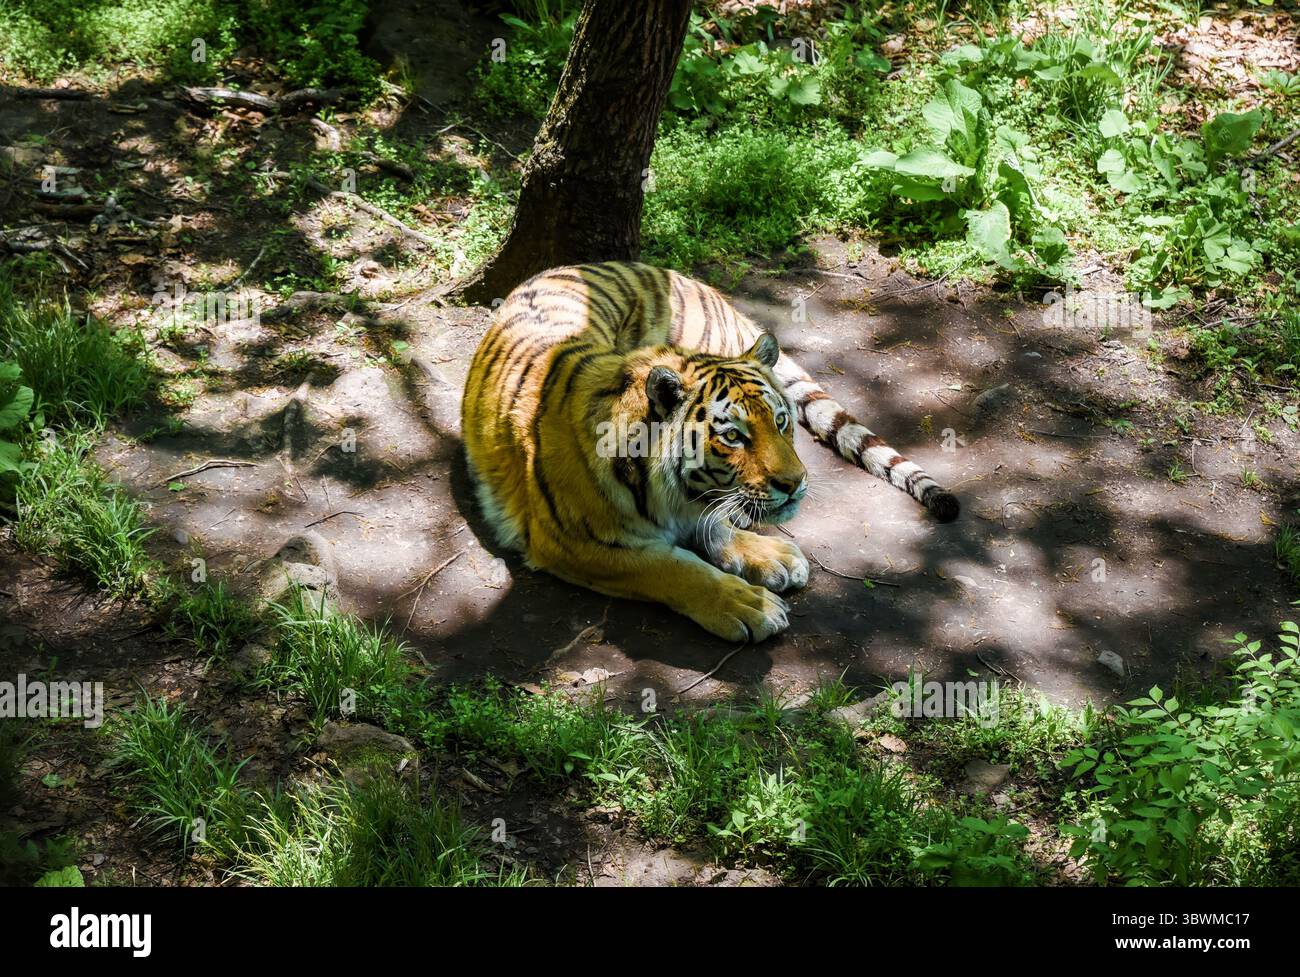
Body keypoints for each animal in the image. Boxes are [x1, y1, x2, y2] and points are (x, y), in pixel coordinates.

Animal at [461, 262, 959, 643]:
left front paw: (771, 556)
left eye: (780, 422)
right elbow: (671, 566)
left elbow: (714, 523)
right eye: (734, 436)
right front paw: (748, 605)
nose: (795, 483)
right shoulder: (572, 541)